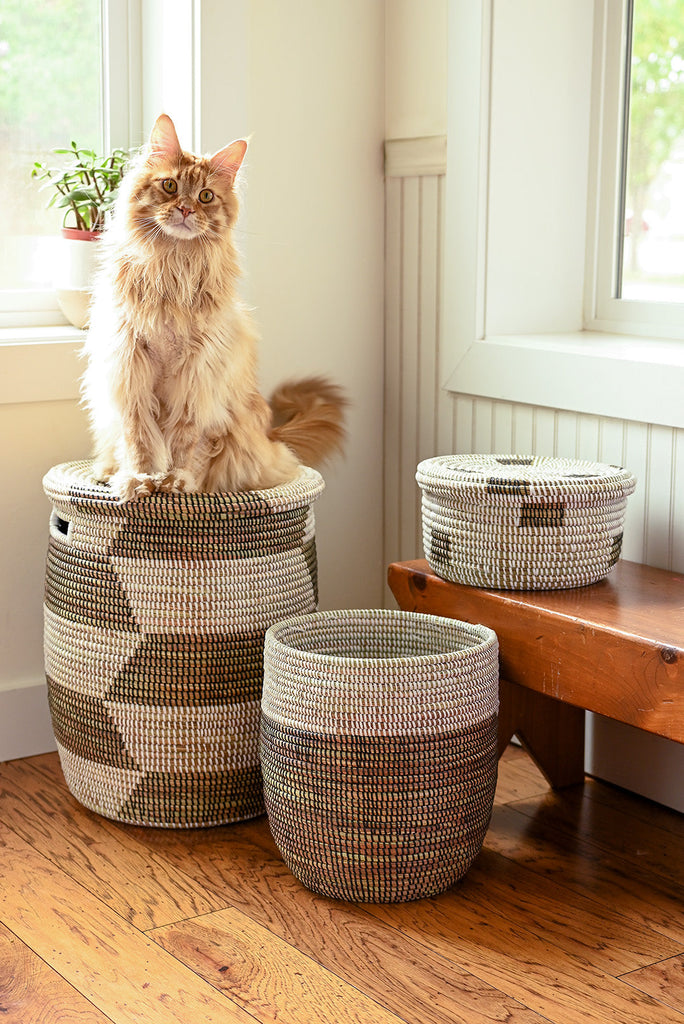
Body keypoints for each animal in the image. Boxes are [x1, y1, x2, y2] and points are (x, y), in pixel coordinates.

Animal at [81, 114, 344, 497]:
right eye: (170, 186)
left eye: (206, 196)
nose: (186, 209)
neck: (173, 268)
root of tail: (270, 438)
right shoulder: (131, 369)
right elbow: (140, 441)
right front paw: (139, 482)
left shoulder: (199, 377)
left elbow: (187, 443)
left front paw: (177, 483)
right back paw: (108, 472)